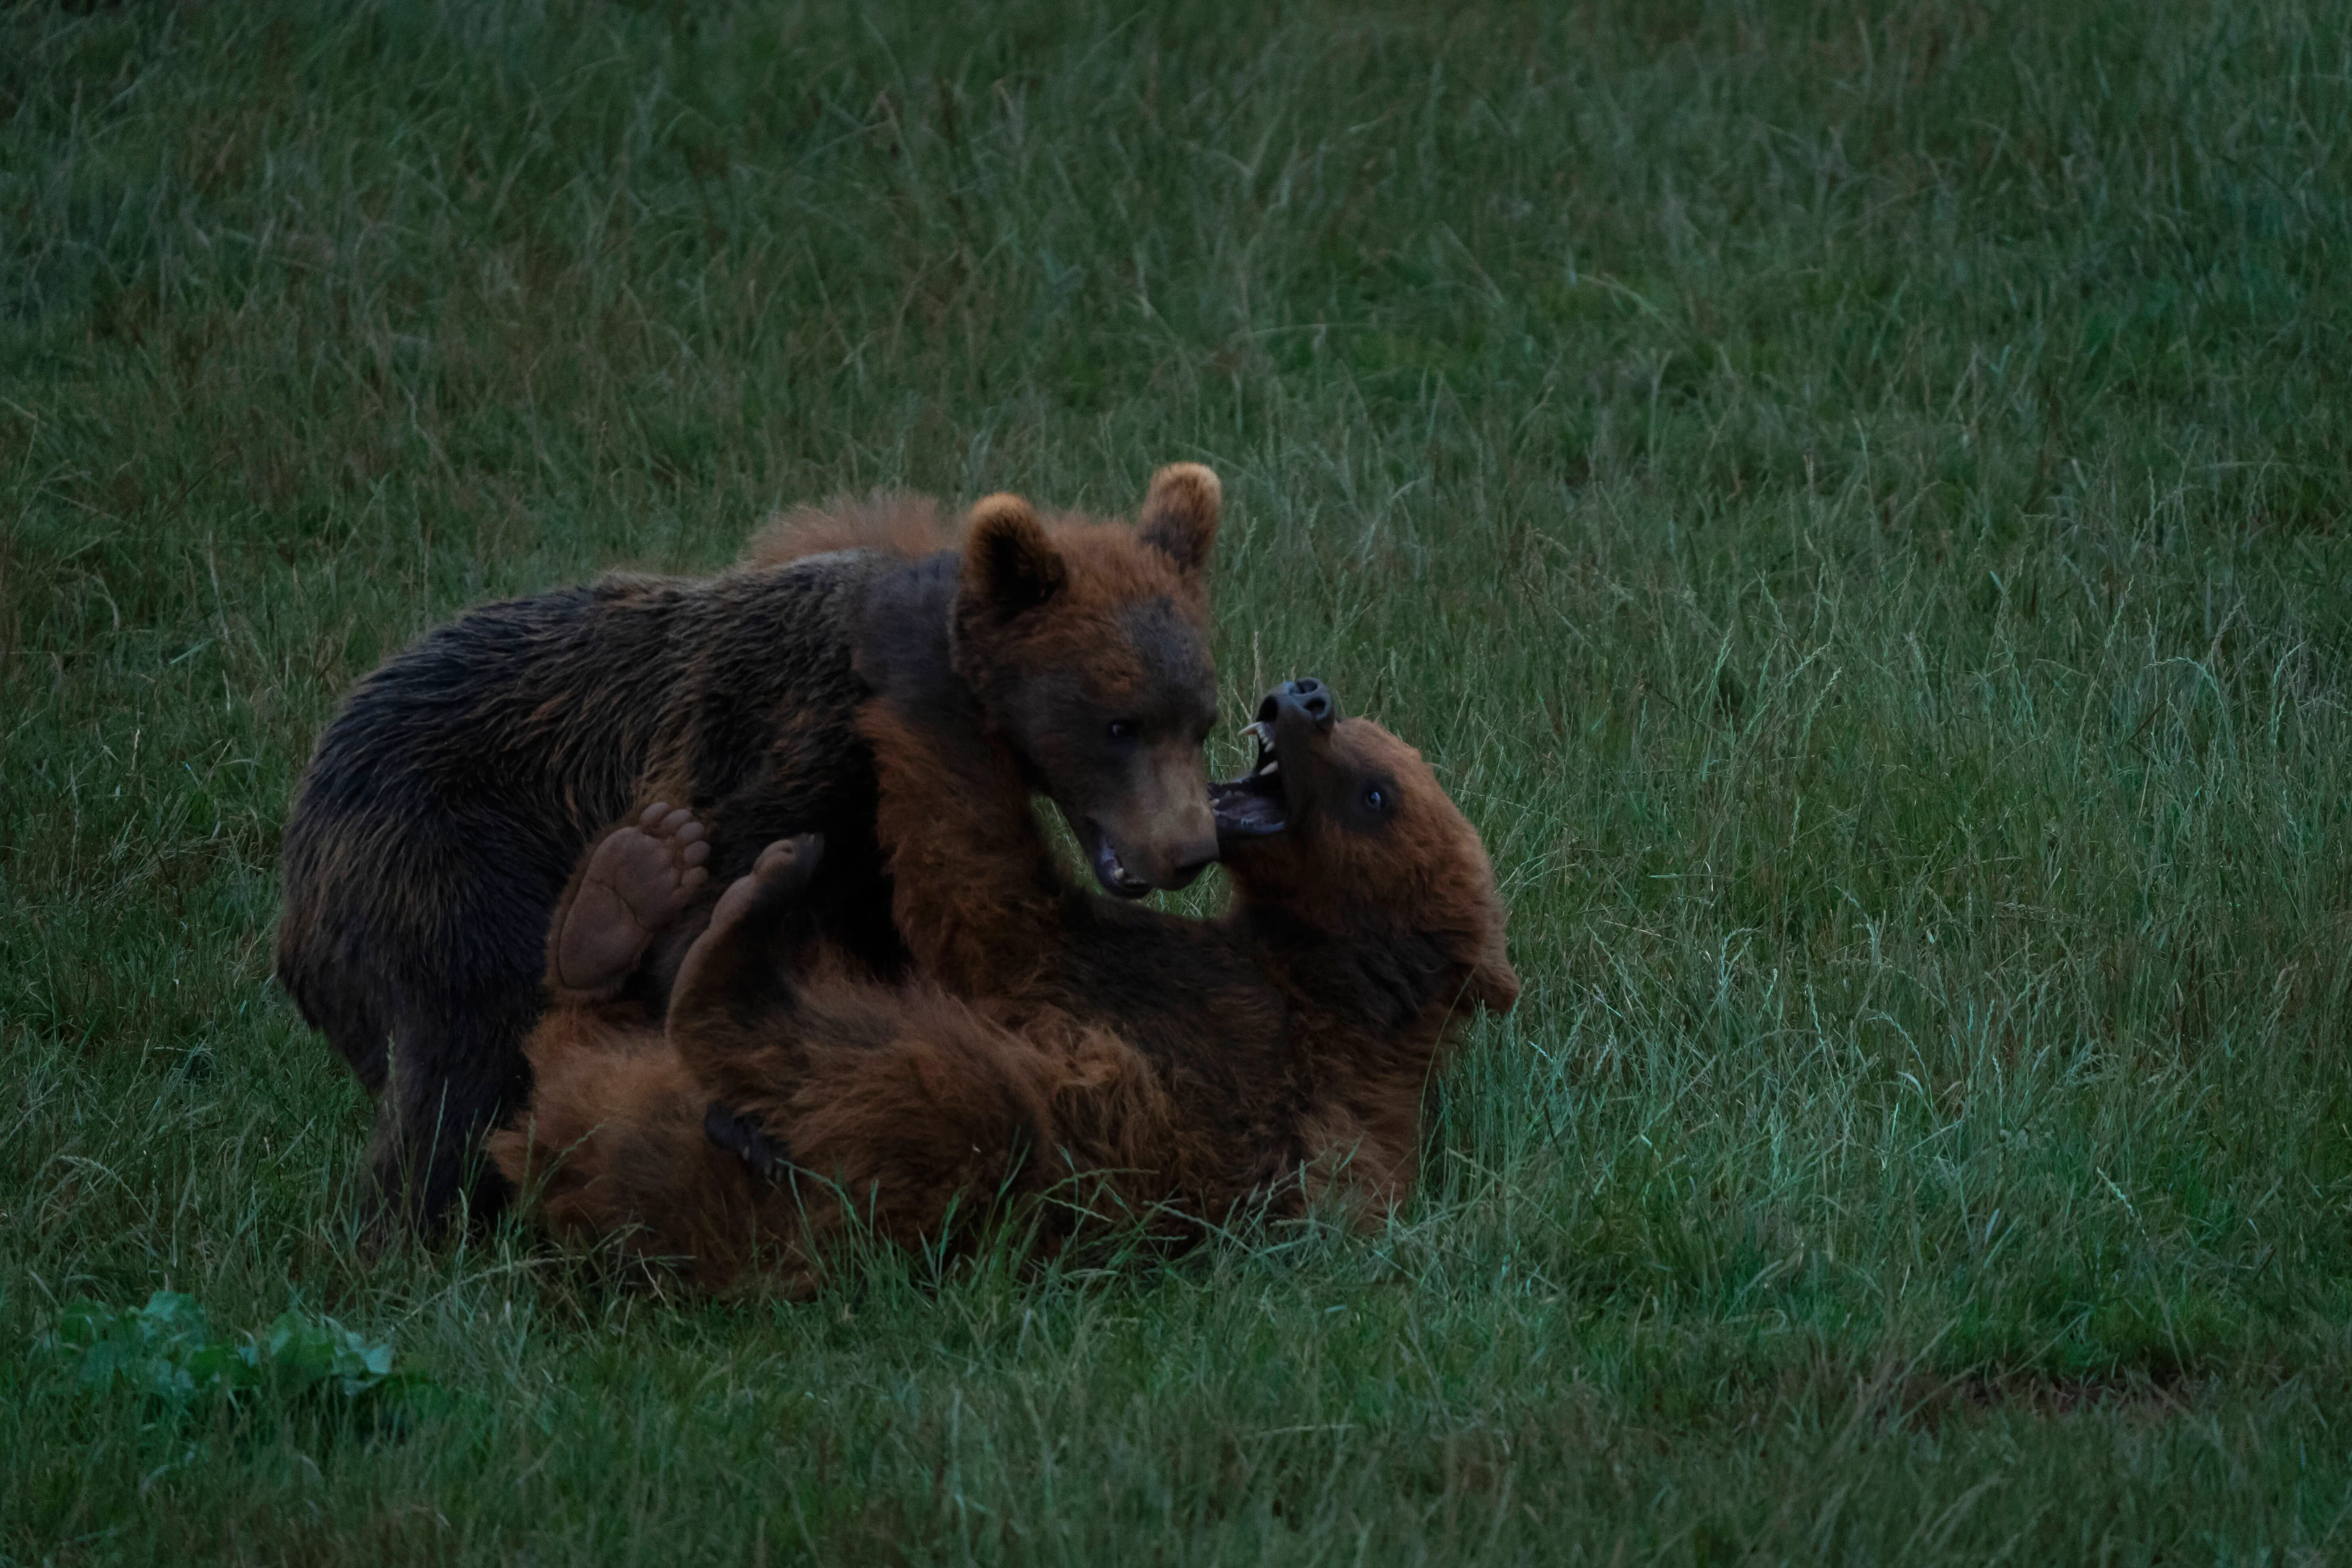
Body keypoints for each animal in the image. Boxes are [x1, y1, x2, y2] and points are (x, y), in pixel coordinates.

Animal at [276, 465, 1227, 1233]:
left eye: (1201, 719)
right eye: (1120, 724)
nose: (1189, 848)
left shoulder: (867, 851)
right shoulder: (785, 748)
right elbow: (724, 901)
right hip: (441, 841)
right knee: (465, 1049)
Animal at [486, 676, 1519, 1291]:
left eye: (1377, 791)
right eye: (1377, 738)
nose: (1307, 696)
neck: (1324, 970)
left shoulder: (1219, 1015)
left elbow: (996, 905)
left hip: (930, 1175)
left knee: (931, 1092)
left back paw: (748, 923)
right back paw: (623, 895)